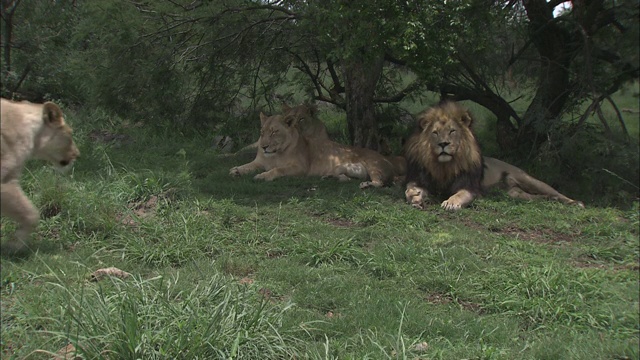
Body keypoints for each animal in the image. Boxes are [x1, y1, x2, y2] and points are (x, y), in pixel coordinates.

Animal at [230, 104, 404, 187]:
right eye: (262, 132)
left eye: (274, 132)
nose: (264, 146)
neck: (275, 154)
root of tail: (387, 159)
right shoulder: (259, 162)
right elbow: (246, 166)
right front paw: (236, 170)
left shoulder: (300, 168)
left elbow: (278, 170)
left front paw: (262, 176)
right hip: (344, 169)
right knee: (346, 178)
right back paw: (330, 177)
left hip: (373, 166)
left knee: (380, 183)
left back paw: (366, 185)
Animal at [404, 100, 584, 211]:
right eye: (435, 133)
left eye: (452, 131)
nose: (443, 144)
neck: (443, 166)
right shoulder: (420, 178)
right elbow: (409, 189)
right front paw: (415, 197)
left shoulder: (470, 186)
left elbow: (461, 194)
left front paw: (451, 203)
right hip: (515, 194)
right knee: (536, 197)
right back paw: (548, 200)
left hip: (529, 180)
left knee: (555, 192)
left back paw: (576, 203)